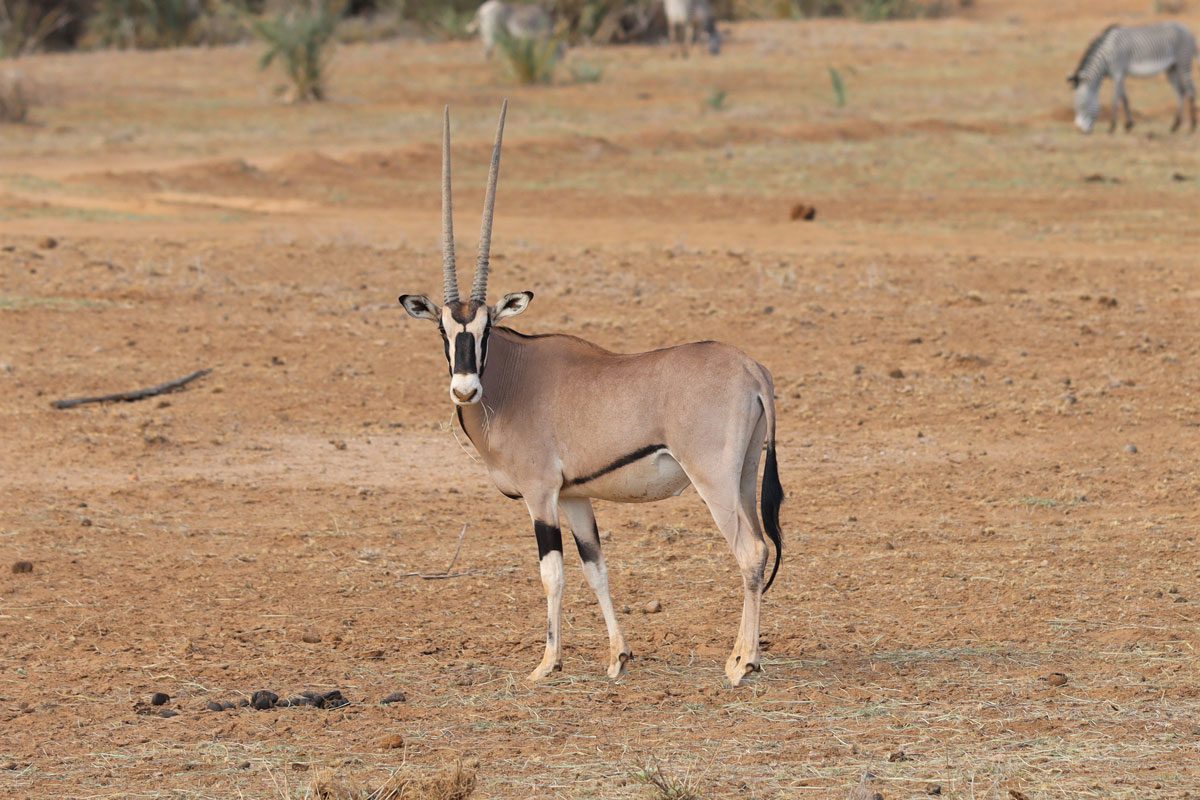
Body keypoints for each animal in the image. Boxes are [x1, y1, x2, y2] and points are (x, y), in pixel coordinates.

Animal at [398, 103, 782, 686]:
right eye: (443, 330)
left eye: (486, 328)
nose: (465, 389)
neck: (513, 376)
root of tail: (750, 367)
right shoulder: (576, 497)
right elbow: (596, 568)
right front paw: (618, 657)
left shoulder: (540, 496)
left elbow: (552, 574)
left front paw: (546, 663)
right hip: (741, 475)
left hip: (713, 479)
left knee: (751, 550)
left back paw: (742, 663)